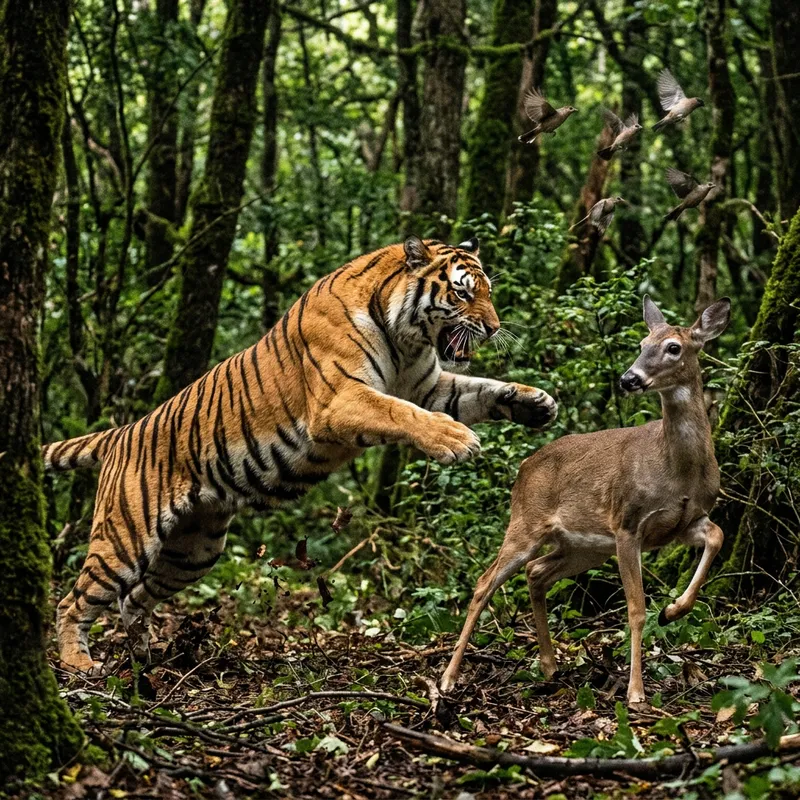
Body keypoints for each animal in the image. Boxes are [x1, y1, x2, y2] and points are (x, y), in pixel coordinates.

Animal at [43, 235, 557, 673]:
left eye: (488, 292)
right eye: (463, 293)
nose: (493, 329)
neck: (407, 339)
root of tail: (122, 433)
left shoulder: (430, 386)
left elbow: (481, 388)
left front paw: (535, 402)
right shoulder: (340, 400)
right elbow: (402, 412)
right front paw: (456, 440)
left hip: (195, 550)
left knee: (134, 600)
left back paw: (145, 655)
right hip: (125, 537)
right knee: (75, 600)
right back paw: (79, 663)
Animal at [439, 295, 730, 706]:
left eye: (674, 347)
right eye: (642, 344)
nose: (629, 379)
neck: (677, 469)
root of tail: (524, 466)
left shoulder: (685, 522)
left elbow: (717, 536)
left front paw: (673, 611)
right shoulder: (627, 522)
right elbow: (636, 609)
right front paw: (636, 691)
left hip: (584, 547)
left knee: (536, 573)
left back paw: (549, 666)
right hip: (526, 523)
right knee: (485, 582)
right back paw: (448, 678)